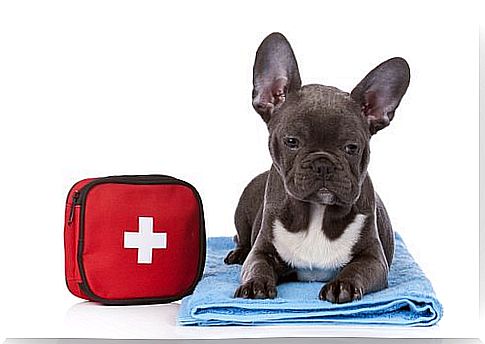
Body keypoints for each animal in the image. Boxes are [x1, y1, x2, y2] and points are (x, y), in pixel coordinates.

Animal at [223, 30, 408, 302]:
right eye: (292, 141)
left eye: (351, 147)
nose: (323, 164)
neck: (317, 212)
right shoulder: (262, 249)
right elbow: (257, 263)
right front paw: (255, 283)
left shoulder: (374, 259)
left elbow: (357, 269)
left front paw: (342, 285)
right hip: (242, 210)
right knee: (243, 240)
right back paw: (237, 253)